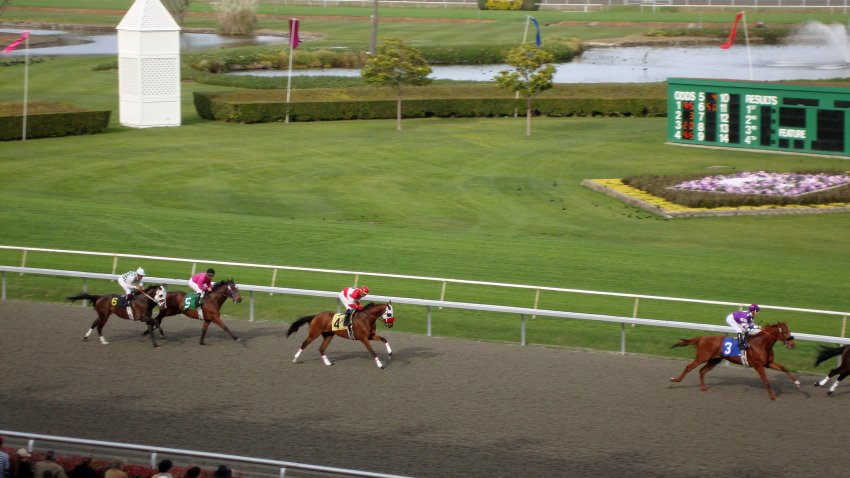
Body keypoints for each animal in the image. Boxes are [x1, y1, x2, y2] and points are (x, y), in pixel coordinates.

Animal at [664, 322, 800, 400]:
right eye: (785, 331)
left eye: (789, 330)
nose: (792, 344)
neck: (761, 344)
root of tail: (702, 338)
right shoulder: (758, 365)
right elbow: (766, 380)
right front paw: (772, 396)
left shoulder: (768, 363)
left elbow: (784, 368)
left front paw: (797, 382)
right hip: (702, 357)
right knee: (689, 367)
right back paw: (676, 379)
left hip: (715, 360)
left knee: (702, 371)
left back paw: (704, 388)